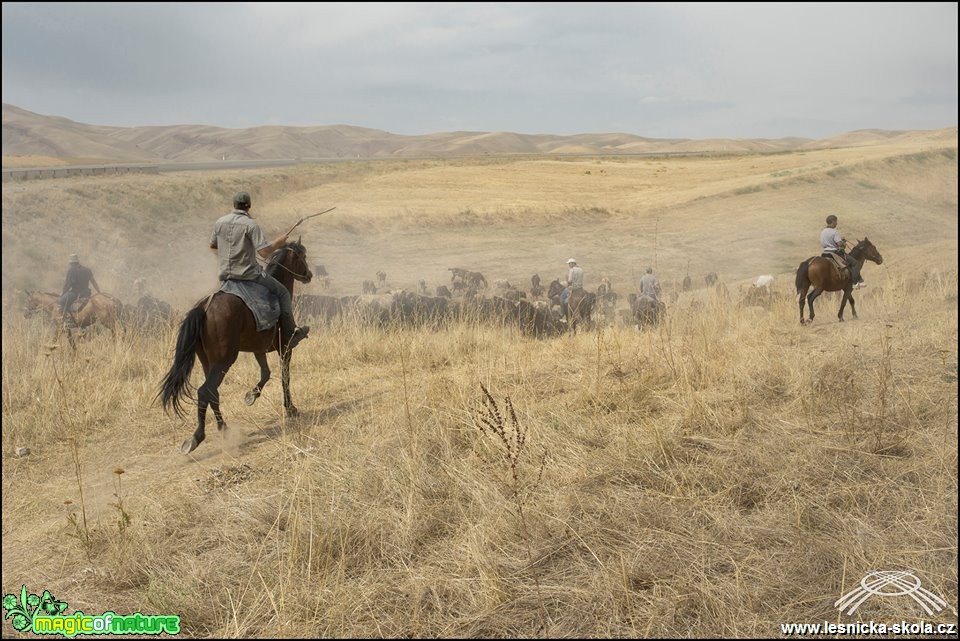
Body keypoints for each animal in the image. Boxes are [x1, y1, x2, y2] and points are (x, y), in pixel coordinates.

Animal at [158, 240, 312, 456]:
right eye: (302, 256)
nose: (309, 275)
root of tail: (204, 307)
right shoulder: (285, 348)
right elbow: (285, 377)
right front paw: (290, 409)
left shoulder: (259, 349)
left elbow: (265, 373)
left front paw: (251, 396)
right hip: (224, 360)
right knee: (205, 391)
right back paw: (197, 438)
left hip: (208, 361)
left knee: (213, 392)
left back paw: (223, 428)